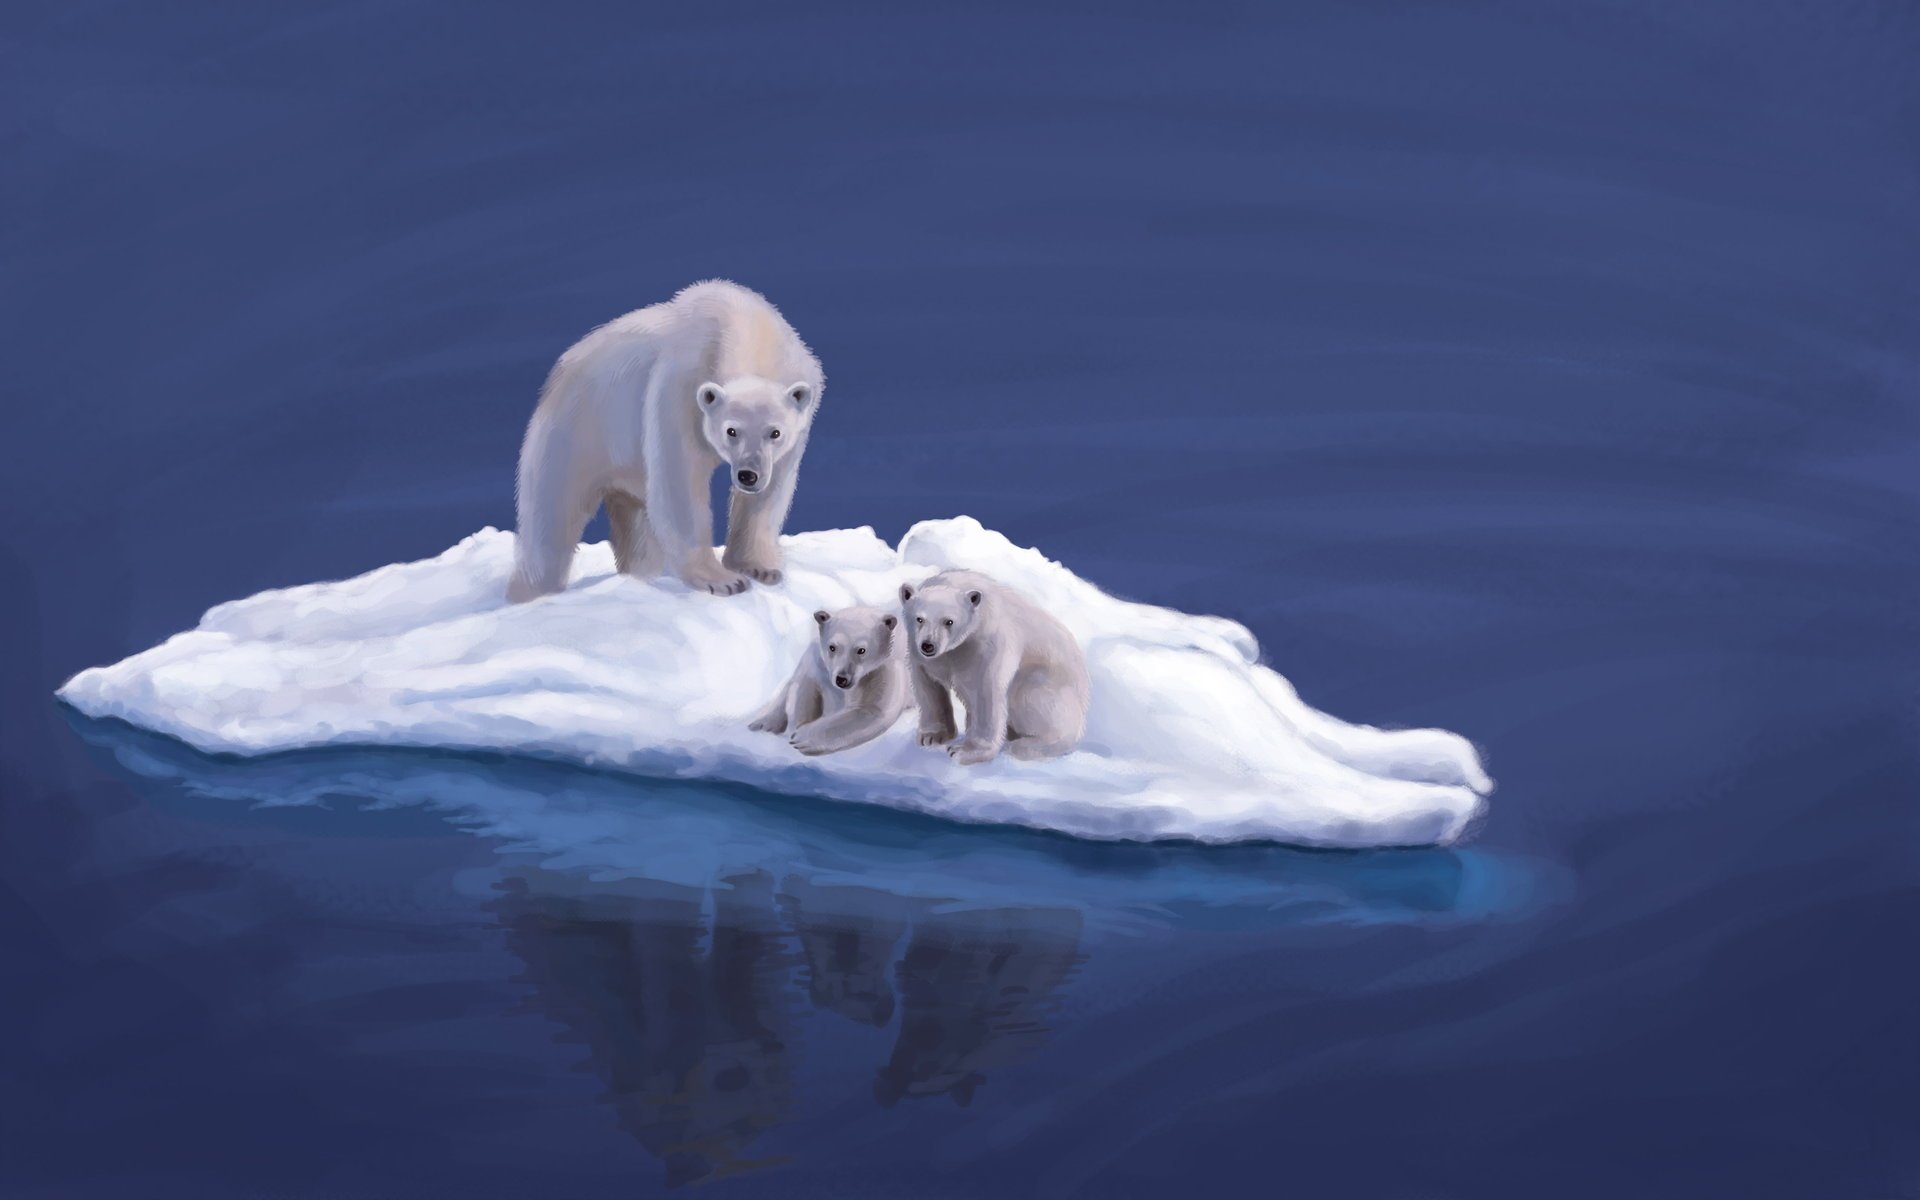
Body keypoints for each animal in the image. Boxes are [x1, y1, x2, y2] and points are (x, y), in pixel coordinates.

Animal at [506, 280, 824, 601]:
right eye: (731, 431)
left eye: (775, 432)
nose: (748, 475)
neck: (746, 325)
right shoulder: (680, 388)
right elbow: (680, 480)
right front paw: (723, 580)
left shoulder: (801, 400)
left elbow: (771, 490)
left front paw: (759, 568)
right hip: (577, 431)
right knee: (552, 518)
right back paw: (531, 592)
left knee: (636, 523)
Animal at [748, 605, 911, 756]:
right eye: (832, 647)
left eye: (861, 650)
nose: (842, 679)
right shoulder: (818, 660)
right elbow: (803, 685)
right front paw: (791, 723)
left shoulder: (883, 668)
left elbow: (872, 709)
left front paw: (802, 738)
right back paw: (761, 722)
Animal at [899, 570, 1089, 765]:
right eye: (919, 619)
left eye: (949, 621)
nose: (928, 645)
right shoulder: (920, 650)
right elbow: (928, 685)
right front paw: (931, 736)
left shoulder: (987, 642)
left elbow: (986, 691)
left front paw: (964, 751)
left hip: (1048, 684)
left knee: (1029, 697)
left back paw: (1027, 746)